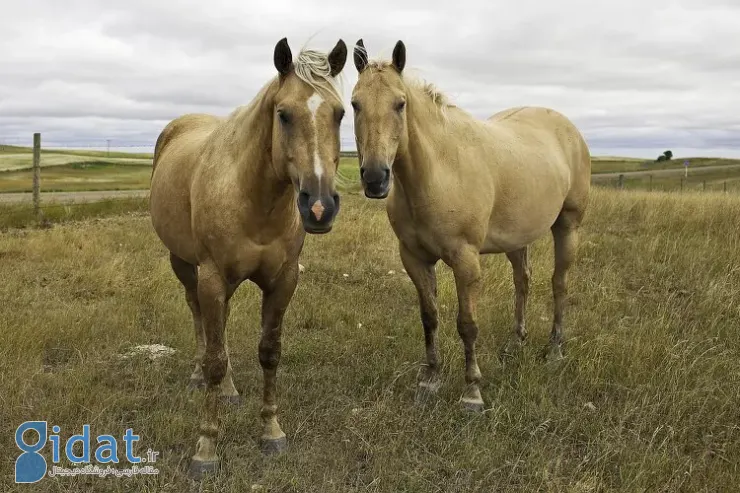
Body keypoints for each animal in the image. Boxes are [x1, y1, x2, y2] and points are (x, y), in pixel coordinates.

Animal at [150, 37, 350, 476]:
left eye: (341, 113)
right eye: (283, 114)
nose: (319, 207)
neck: (253, 198)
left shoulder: (283, 281)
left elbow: (269, 352)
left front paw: (271, 432)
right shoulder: (211, 277)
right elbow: (214, 357)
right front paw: (206, 448)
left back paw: (228, 390)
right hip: (185, 266)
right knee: (201, 323)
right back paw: (199, 377)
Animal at [352, 38, 588, 410]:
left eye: (400, 104)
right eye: (355, 104)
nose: (375, 179)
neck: (439, 171)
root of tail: (570, 131)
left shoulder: (465, 261)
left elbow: (467, 324)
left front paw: (472, 391)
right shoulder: (414, 259)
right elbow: (429, 317)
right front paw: (430, 380)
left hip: (568, 227)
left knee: (559, 284)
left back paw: (554, 349)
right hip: (517, 238)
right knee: (523, 281)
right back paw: (516, 342)